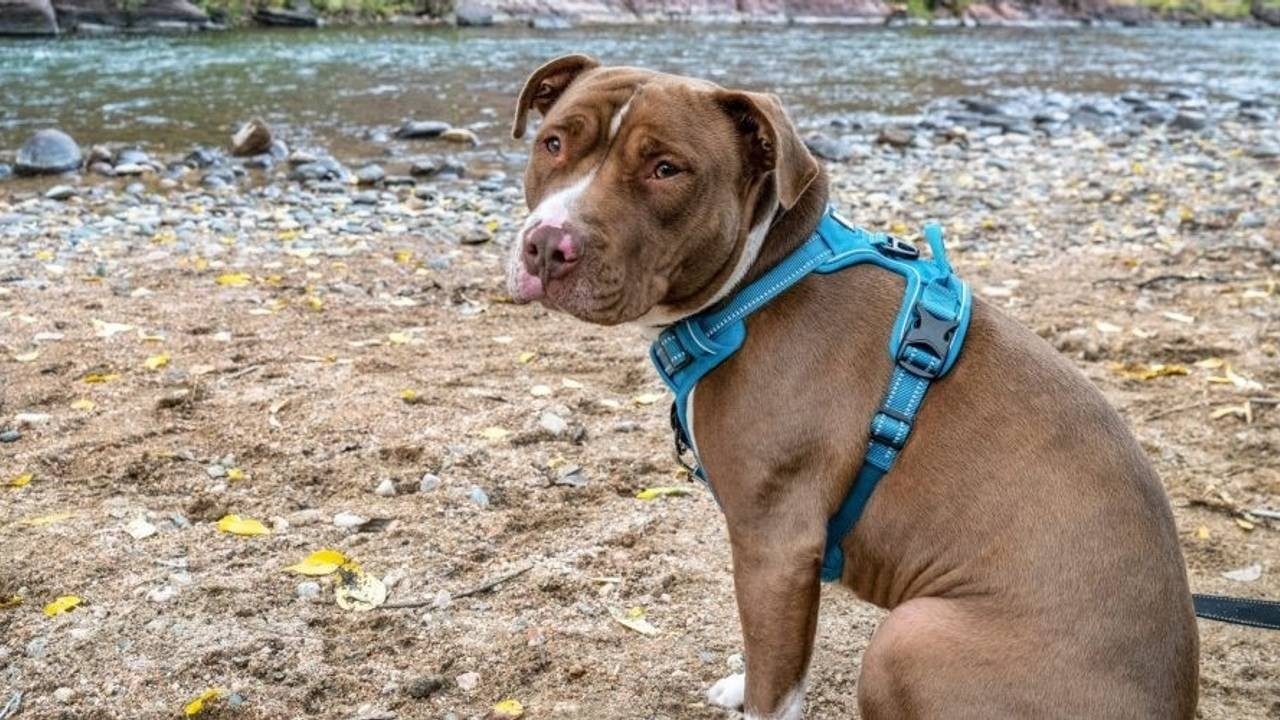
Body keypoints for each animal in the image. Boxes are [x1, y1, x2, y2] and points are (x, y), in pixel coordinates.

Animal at [501, 53, 1198, 712]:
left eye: (666, 169)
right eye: (553, 142)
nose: (547, 245)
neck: (761, 278)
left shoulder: (776, 543)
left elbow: (777, 688)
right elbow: (768, 657)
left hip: (909, 637)